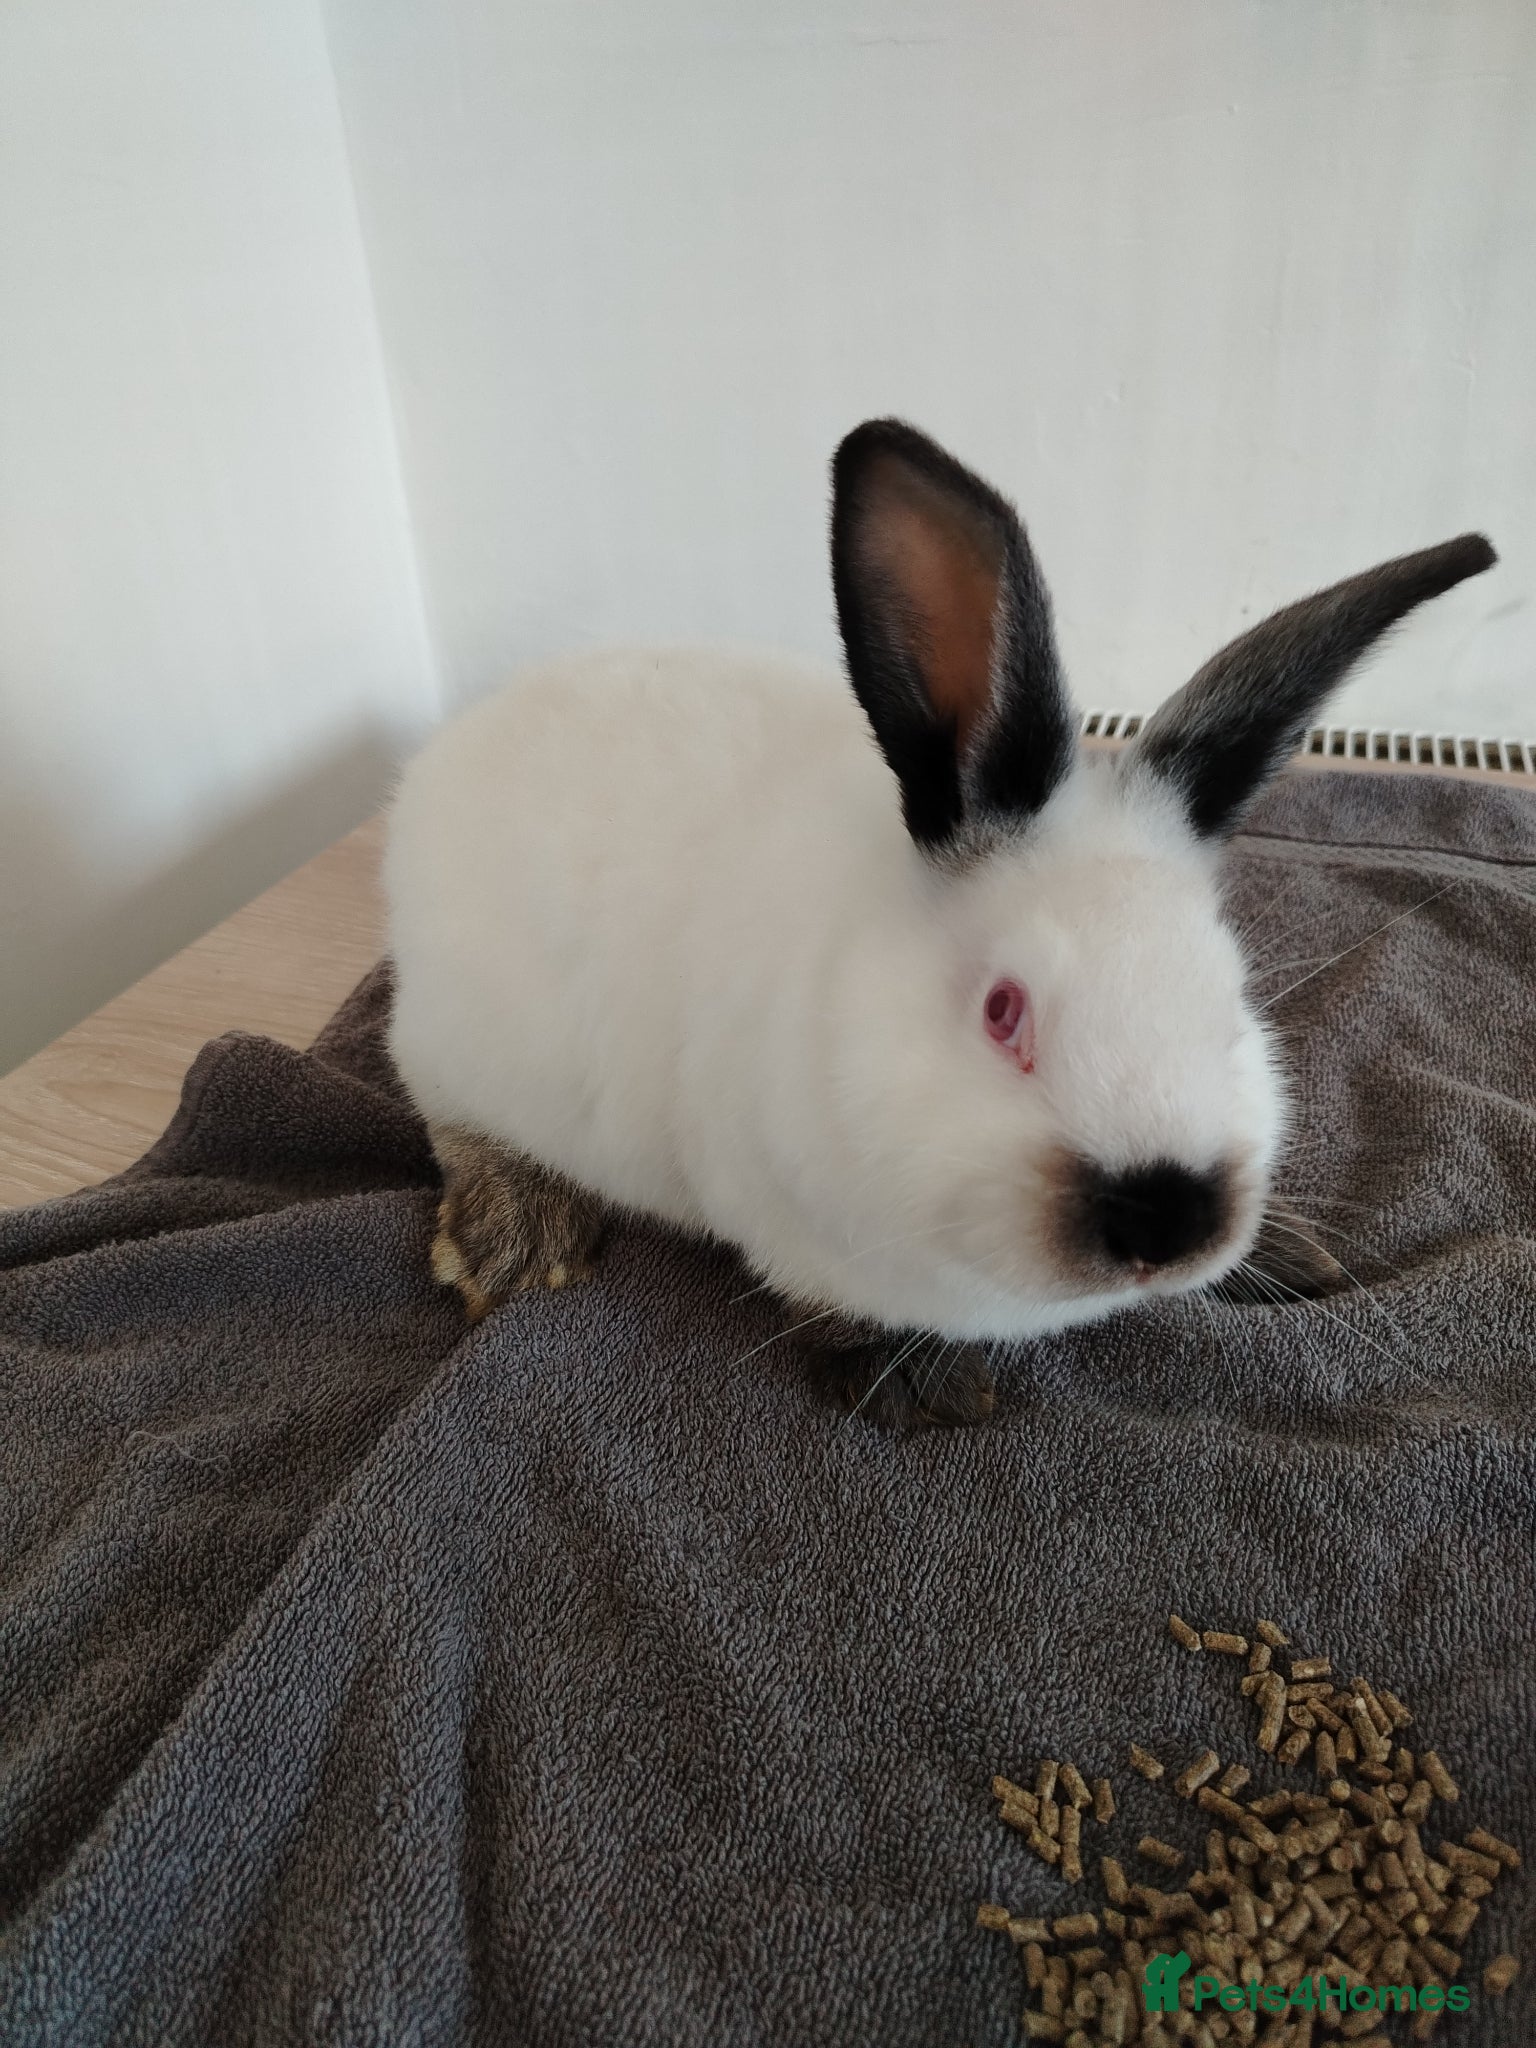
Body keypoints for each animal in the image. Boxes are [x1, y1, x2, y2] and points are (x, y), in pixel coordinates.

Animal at [385, 418, 1494, 1424]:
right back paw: (514, 1238)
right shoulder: (776, 1212)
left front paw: (1286, 1253)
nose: (1167, 1224)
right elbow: (833, 1301)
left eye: (1233, 1010)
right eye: (1004, 1012)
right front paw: (928, 1381)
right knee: (446, 1111)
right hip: (465, 1046)